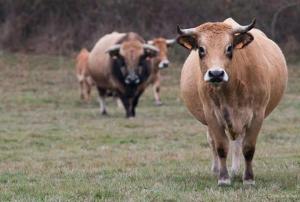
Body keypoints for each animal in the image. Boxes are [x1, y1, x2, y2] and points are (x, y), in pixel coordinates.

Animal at [177, 18, 288, 185]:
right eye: (201, 49)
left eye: (229, 48)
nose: (216, 73)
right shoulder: (211, 115)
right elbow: (221, 147)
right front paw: (223, 178)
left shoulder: (257, 115)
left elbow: (248, 148)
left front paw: (248, 179)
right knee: (213, 142)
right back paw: (217, 170)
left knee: (237, 142)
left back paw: (235, 170)